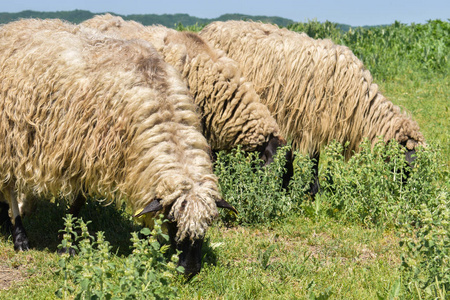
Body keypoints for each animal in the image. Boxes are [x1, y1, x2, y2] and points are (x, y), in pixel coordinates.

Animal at [0, 18, 236, 276]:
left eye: (209, 223)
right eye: (171, 221)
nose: (191, 269)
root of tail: (13, 25)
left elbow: (78, 202)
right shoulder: (85, 151)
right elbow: (76, 203)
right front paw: (66, 244)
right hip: (9, 136)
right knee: (10, 186)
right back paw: (19, 236)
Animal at [200, 20, 426, 195]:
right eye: (408, 162)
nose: (408, 193)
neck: (360, 105)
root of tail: (208, 28)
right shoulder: (312, 122)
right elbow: (313, 158)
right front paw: (312, 190)